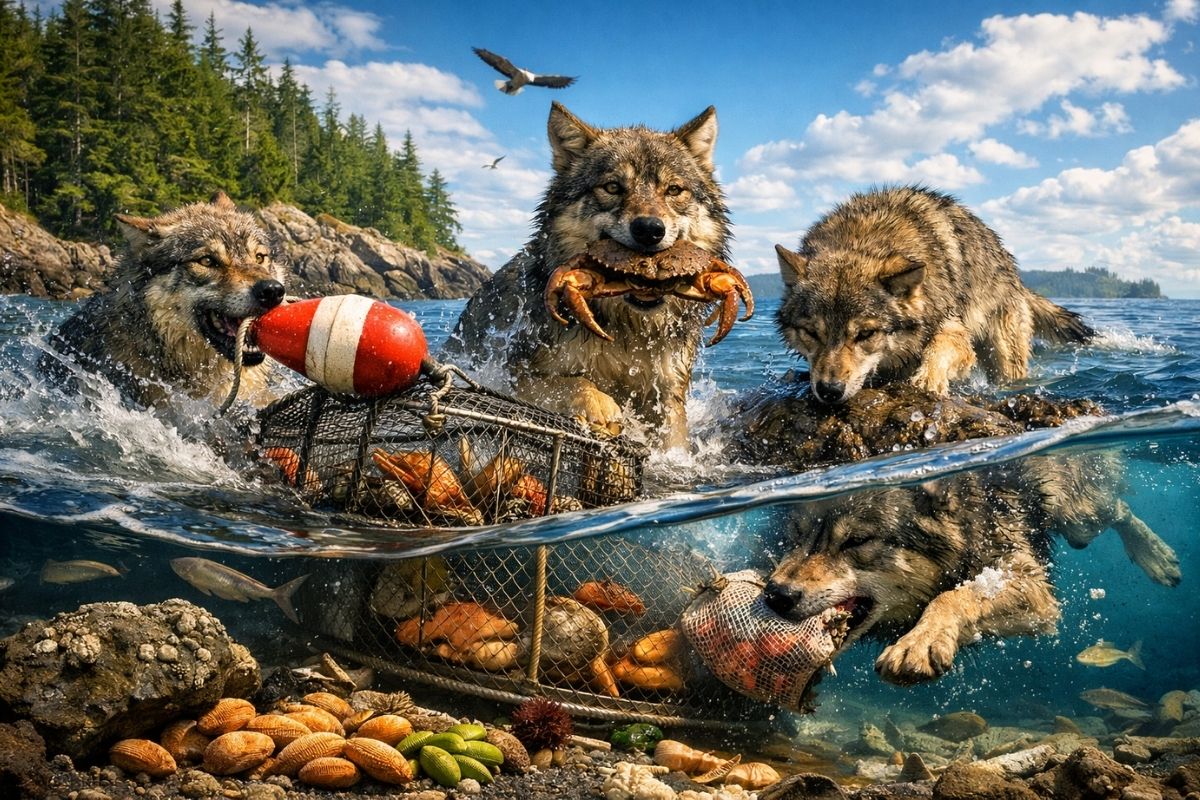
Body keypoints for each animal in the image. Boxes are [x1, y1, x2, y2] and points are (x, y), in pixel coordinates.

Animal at [444, 102, 734, 448]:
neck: (626, 331)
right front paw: (600, 406)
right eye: (612, 187)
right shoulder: (517, 375)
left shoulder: (667, 397)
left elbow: (676, 445)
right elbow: (575, 383)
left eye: (674, 190)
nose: (649, 229)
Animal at [762, 455, 1179, 686]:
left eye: (857, 541)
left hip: (1079, 518)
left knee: (1119, 510)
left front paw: (920, 641)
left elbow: (953, 597)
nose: (774, 595)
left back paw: (1157, 558)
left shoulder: (1029, 585)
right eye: (796, 535)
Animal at [775, 186, 1094, 403]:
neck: (862, 240)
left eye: (865, 334)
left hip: (1004, 354)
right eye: (812, 333)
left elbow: (940, 347)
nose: (829, 391)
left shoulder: (954, 330)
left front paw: (928, 380)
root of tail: (1014, 275)